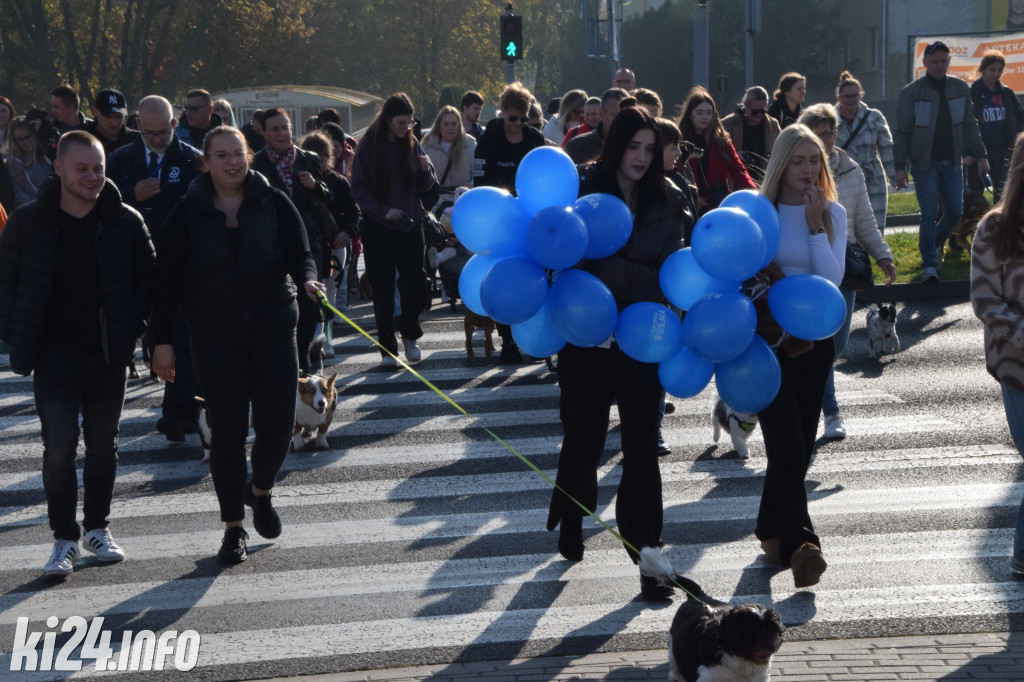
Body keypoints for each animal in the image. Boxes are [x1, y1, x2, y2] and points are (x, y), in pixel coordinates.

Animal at [638, 548, 782, 679]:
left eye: (773, 628)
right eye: (750, 629)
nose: (765, 633)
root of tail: (699, 595)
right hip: (674, 648)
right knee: (675, 666)